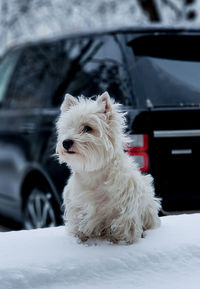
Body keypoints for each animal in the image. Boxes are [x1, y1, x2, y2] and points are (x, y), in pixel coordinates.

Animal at [56, 90, 161, 243]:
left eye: (87, 128)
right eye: (68, 127)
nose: (66, 143)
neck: (93, 174)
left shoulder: (124, 214)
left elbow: (123, 232)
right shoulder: (78, 210)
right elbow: (80, 230)